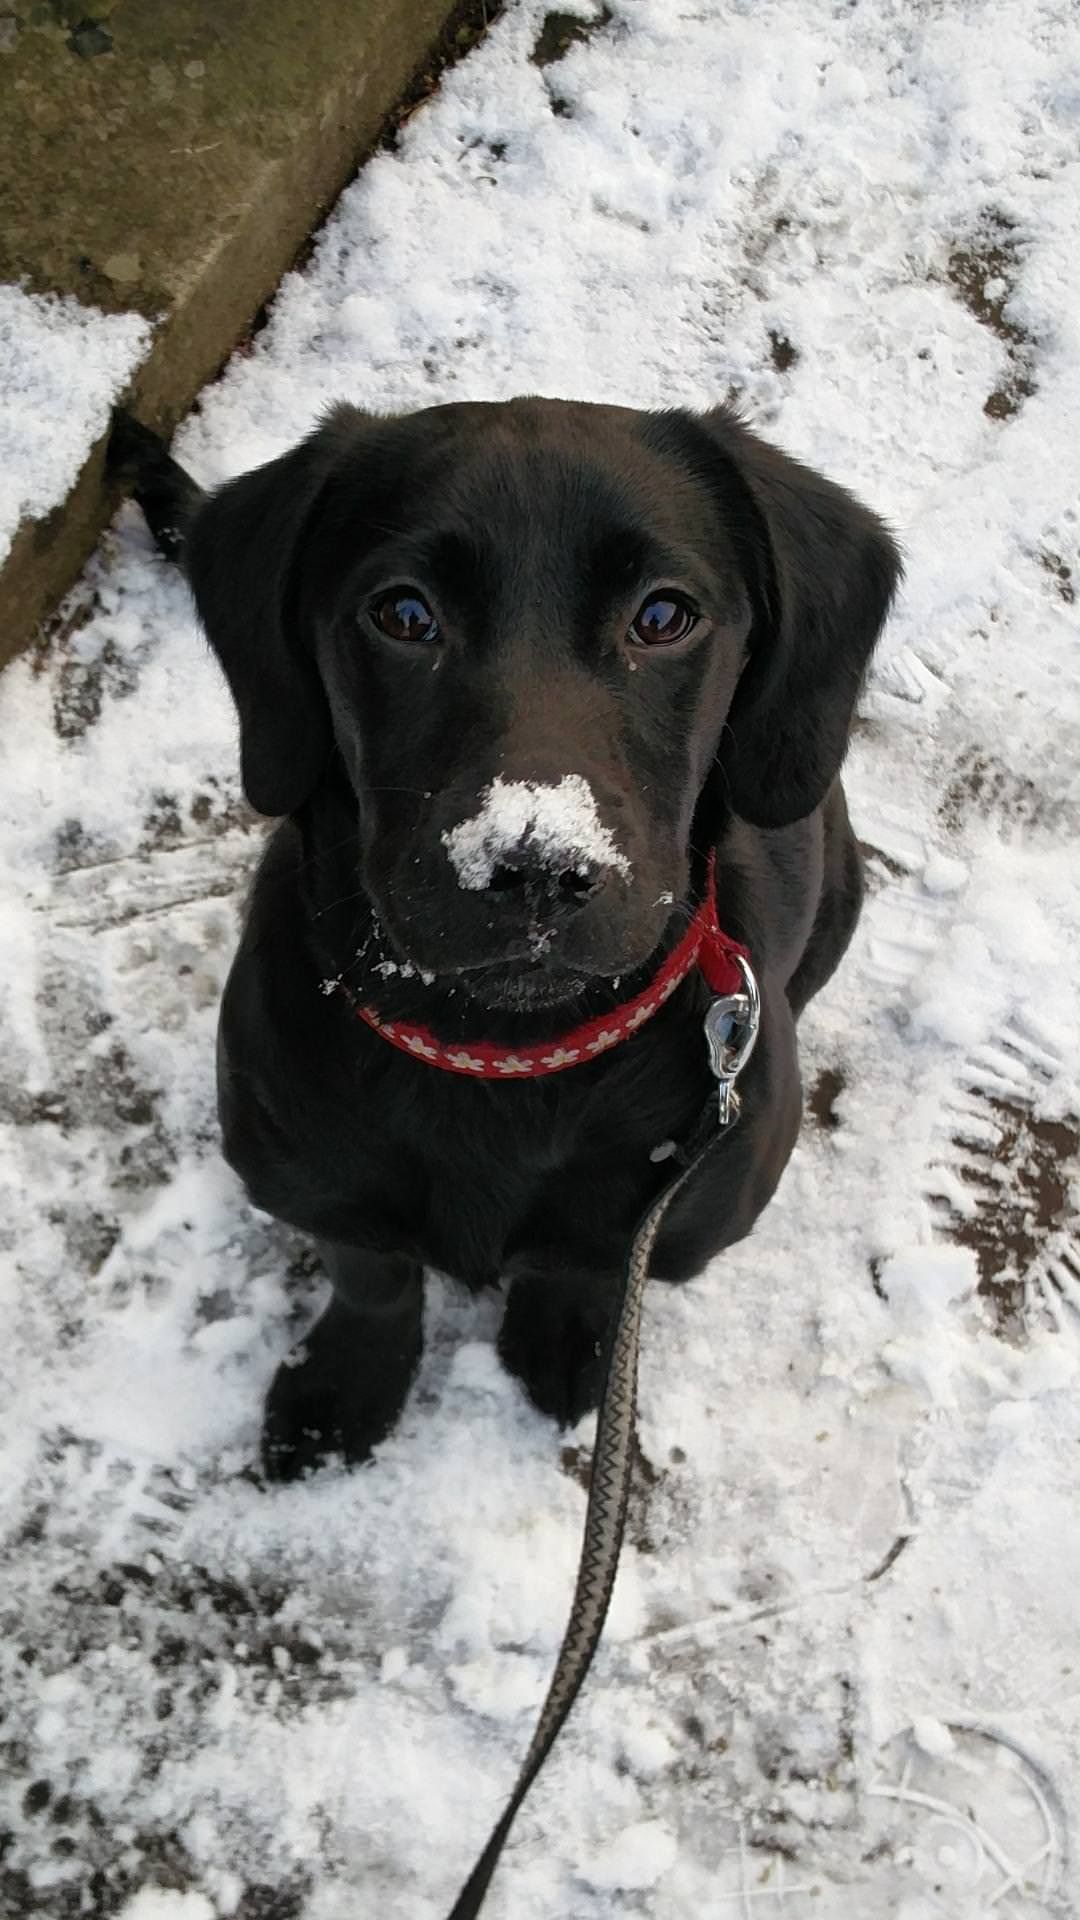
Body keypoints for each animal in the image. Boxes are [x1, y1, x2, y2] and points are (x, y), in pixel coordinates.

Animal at [111, 401, 899, 1482]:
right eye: (403, 615)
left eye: (663, 617)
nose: (534, 868)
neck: (502, 1061)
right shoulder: (310, 1180)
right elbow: (372, 1274)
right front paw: (345, 1385)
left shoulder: (675, 1217)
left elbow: (589, 1270)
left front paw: (567, 1341)